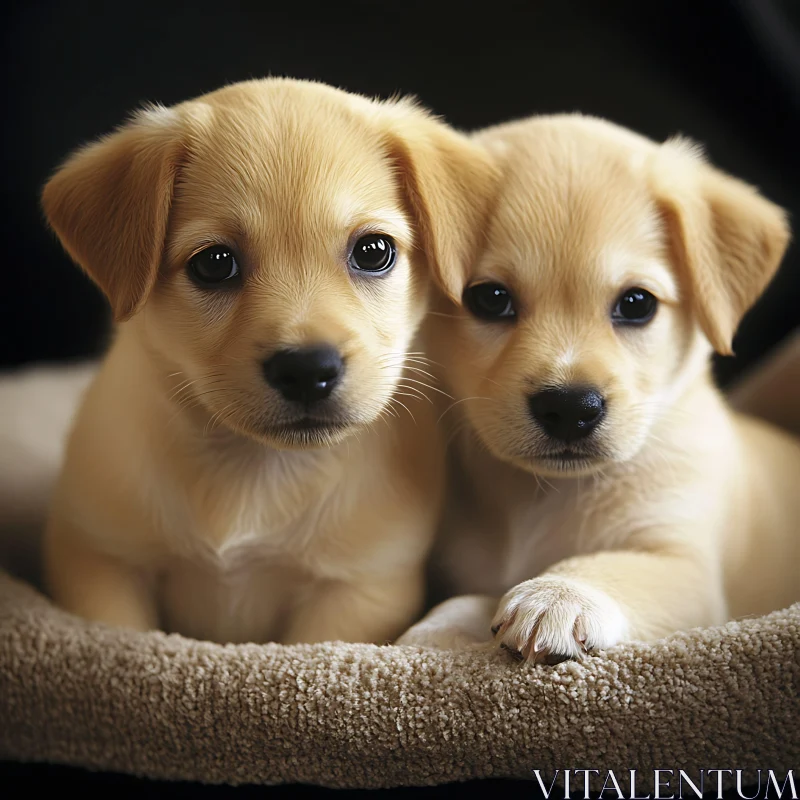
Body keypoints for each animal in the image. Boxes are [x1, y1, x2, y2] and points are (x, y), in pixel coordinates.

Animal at [43, 78, 496, 648]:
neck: (255, 470)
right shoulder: (100, 563)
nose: (306, 370)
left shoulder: (357, 592)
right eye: (214, 264)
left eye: (373, 251)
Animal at [400, 112, 800, 664]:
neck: (540, 497)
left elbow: (615, 566)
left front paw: (560, 595)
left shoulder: (684, 566)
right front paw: (434, 633)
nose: (569, 408)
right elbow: (463, 601)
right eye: (490, 299)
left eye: (636, 303)